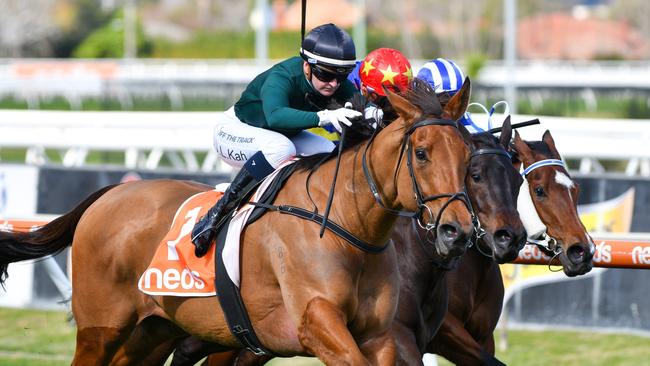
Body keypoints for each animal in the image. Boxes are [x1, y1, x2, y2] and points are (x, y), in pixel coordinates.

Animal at [1, 78, 476, 364]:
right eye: (421, 153)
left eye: (469, 155)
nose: (457, 231)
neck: (347, 225)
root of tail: (109, 195)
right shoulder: (316, 324)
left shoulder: (377, 336)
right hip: (101, 329)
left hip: (153, 329)